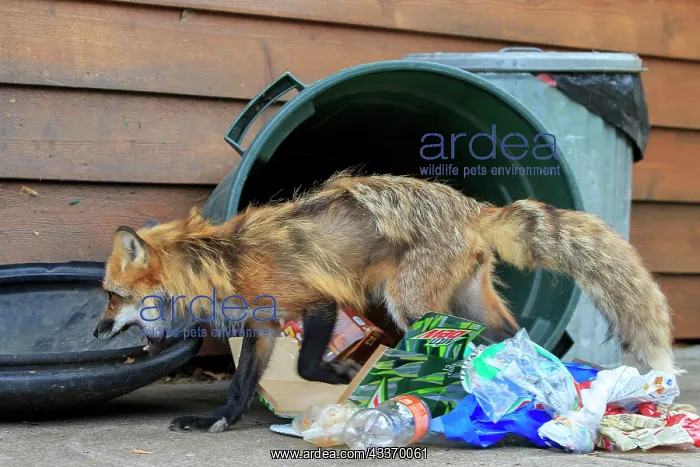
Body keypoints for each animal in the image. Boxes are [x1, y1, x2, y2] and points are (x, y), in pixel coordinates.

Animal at [93, 172, 680, 433]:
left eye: (112, 297)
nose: (97, 332)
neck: (220, 263)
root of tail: (473, 207)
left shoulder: (317, 301)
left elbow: (307, 362)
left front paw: (338, 377)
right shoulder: (264, 328)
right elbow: (240, 385)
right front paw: (219, 419)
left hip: (411, 306)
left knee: (453, 344)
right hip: (471, 305)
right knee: (513, 341)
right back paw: (523, 390)